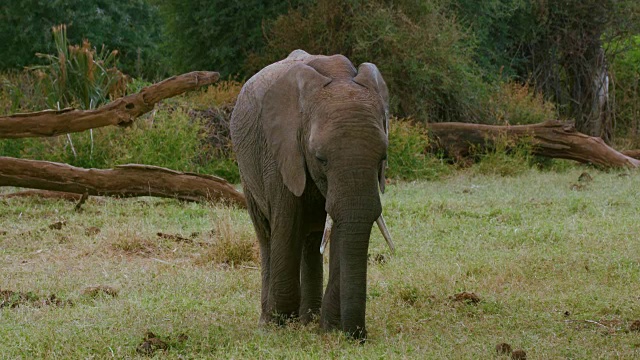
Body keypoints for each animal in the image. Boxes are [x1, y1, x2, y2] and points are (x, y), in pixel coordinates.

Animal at [228, 50, 392, 340]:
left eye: (382, 157)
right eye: (320, 158)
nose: (358, 336)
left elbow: (340, 229)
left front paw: (330, 328)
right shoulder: (280, 152)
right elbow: (286, 225)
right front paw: (279, 324)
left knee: (312, 239)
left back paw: (309, 319)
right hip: (247, 172)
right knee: (267, 235)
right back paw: (268, 321)